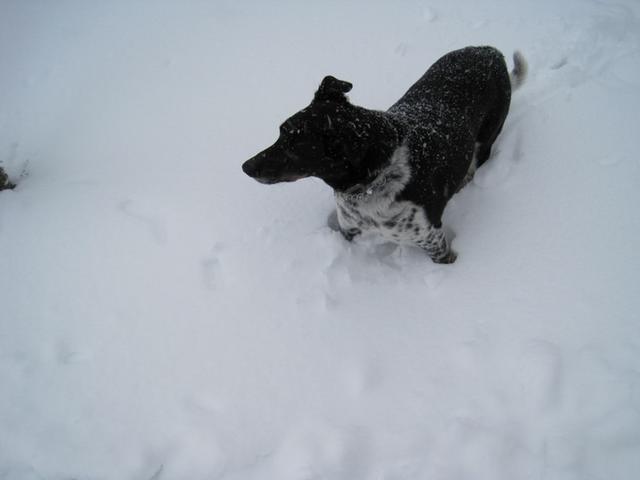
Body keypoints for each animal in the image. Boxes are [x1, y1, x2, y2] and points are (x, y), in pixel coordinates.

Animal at [240, 47, 524, 264]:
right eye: (279, 133)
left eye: (293, 146)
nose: (245, 167)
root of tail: (490, 51)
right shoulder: (348, 228)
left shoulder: (434, 242)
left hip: (488, 135)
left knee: (476, 163)